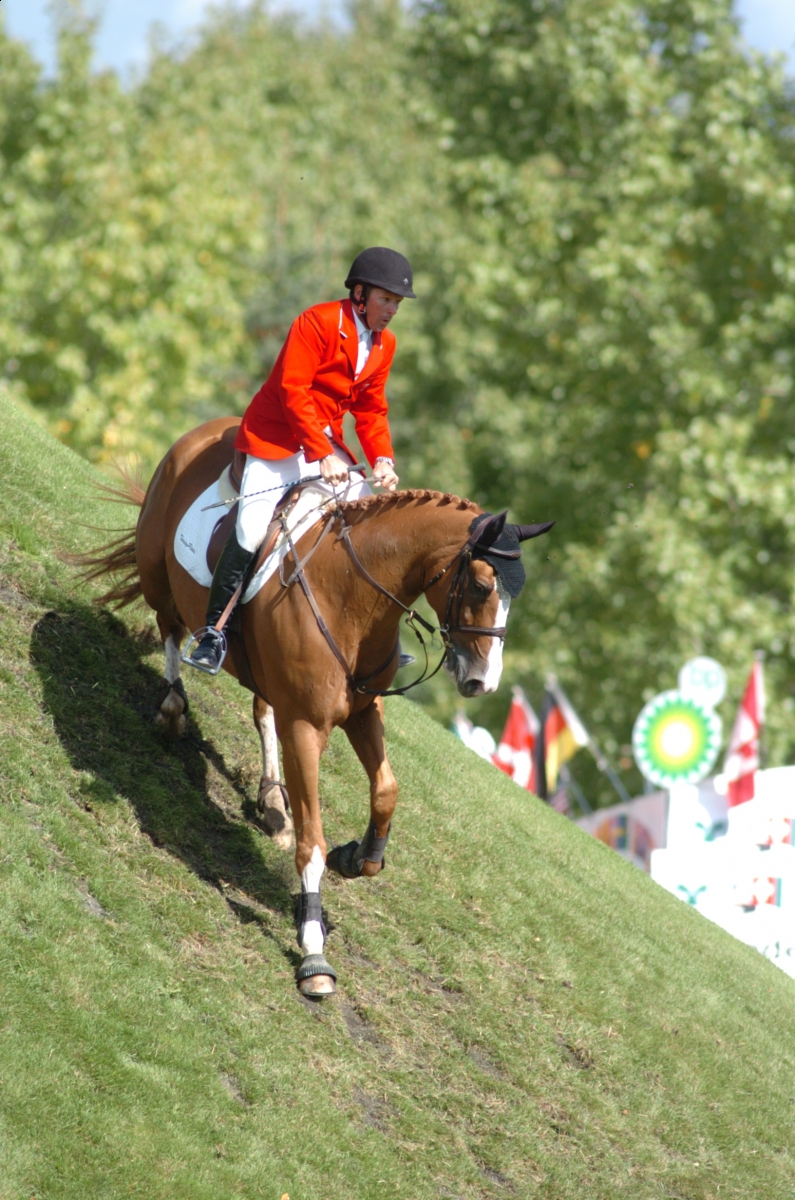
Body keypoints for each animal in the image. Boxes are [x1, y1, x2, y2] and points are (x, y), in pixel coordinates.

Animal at [82, 417, 552, 996]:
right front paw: (313, 949)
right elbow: (312, 844)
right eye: (484, 586)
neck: (351, 593)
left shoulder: (362, 713)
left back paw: (271, 800)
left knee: (262, 710)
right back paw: (174, 706)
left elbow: (386, 791)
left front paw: (359, 857)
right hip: (158, 571)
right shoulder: (307, 727)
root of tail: (213, 427)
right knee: (170, 627)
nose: (483, 682)